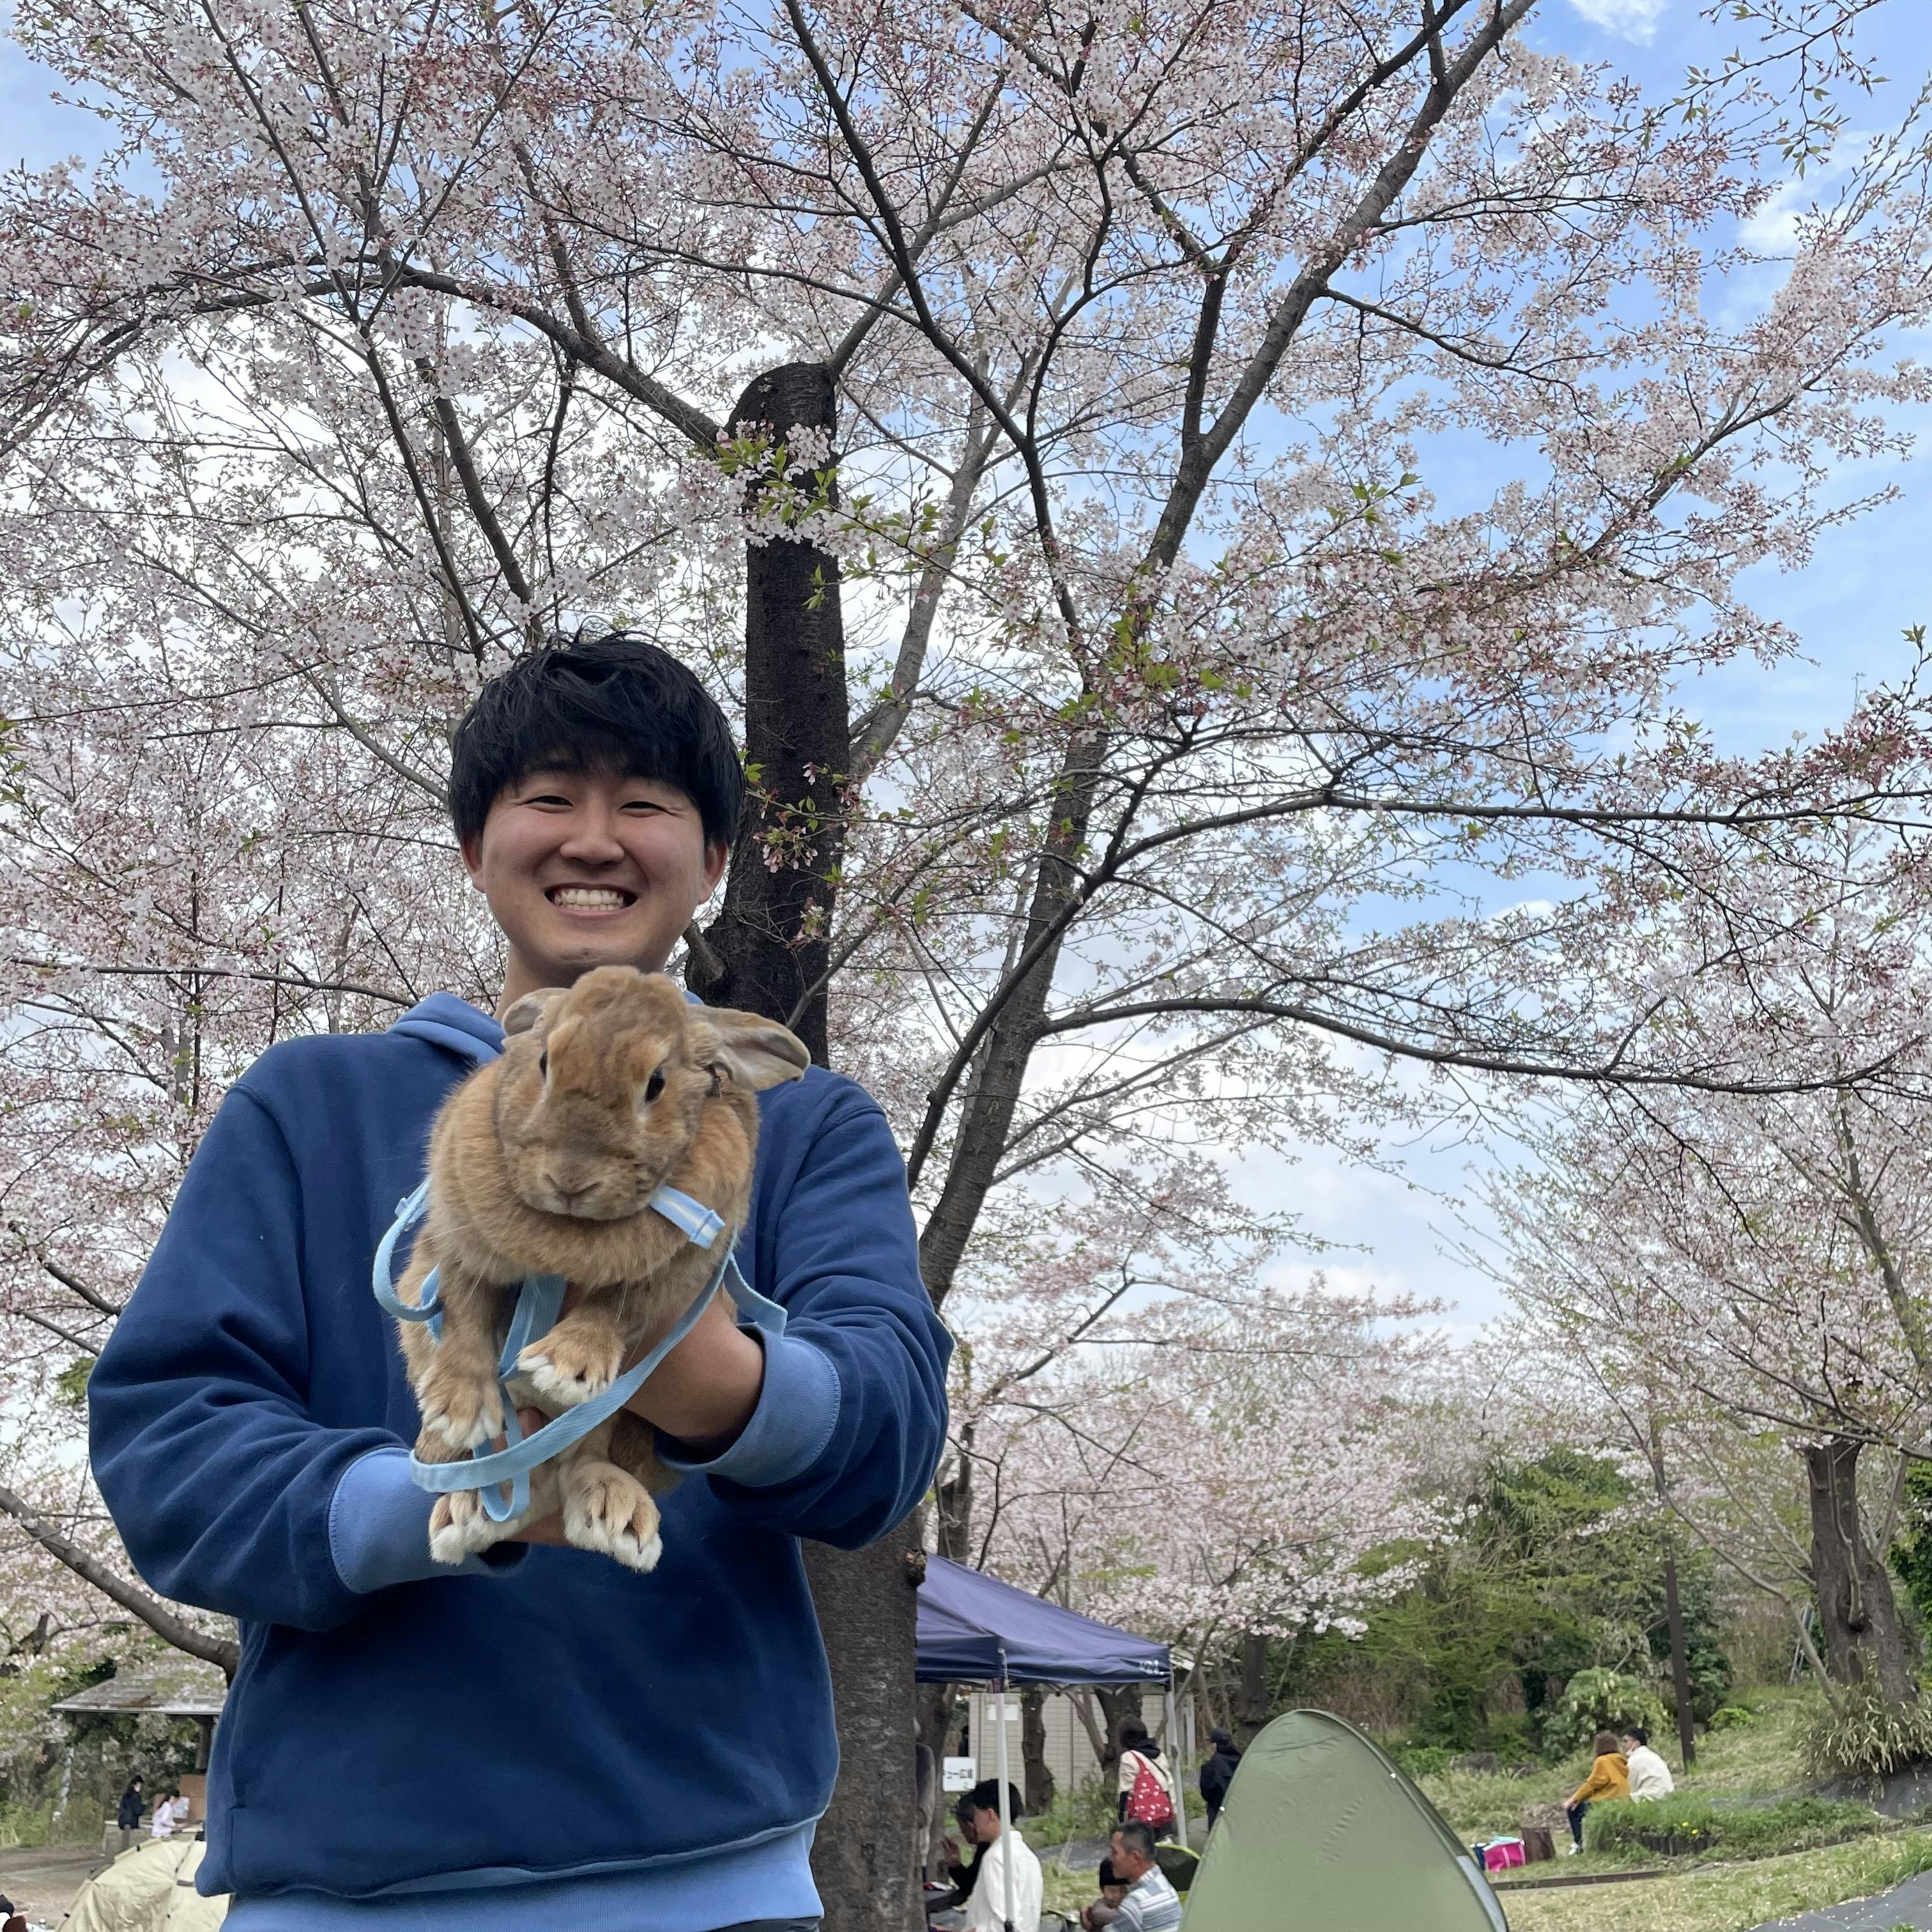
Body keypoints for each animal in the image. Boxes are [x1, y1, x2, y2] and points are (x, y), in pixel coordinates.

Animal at [388, 966, 809, 1571]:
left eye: (656, 1083)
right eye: (544, 1062)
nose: (569, 1178)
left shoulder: (672, 1280)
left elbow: (616, 1309)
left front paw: (567, 1366)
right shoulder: (456, 1245)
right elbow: (466, 1314)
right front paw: (459, 1410)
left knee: (587, 1462)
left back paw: (615, 1514)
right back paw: (463, 1496)